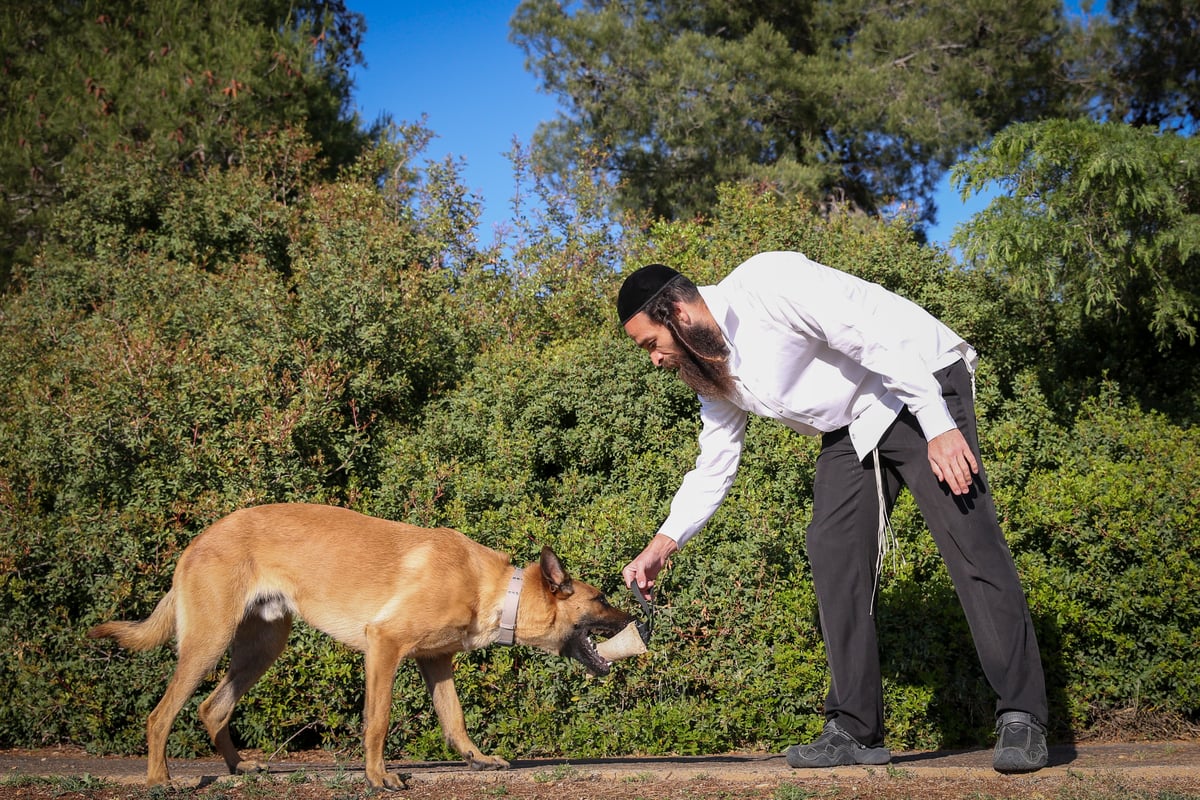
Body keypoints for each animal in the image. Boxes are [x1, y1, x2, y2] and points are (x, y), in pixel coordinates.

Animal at [87, 503, 633, 791]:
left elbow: (454, 719)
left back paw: (240, 767)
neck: (499, 592)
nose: (635, 615)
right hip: (209, 640)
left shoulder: (436, 662)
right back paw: (160, 780)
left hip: (260, 648)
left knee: (212, 708)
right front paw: (378, 777)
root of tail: (198, 540)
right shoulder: (384, 646)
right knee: (161, 714)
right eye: (601, 599)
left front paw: (476, 759)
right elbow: (378, 720)